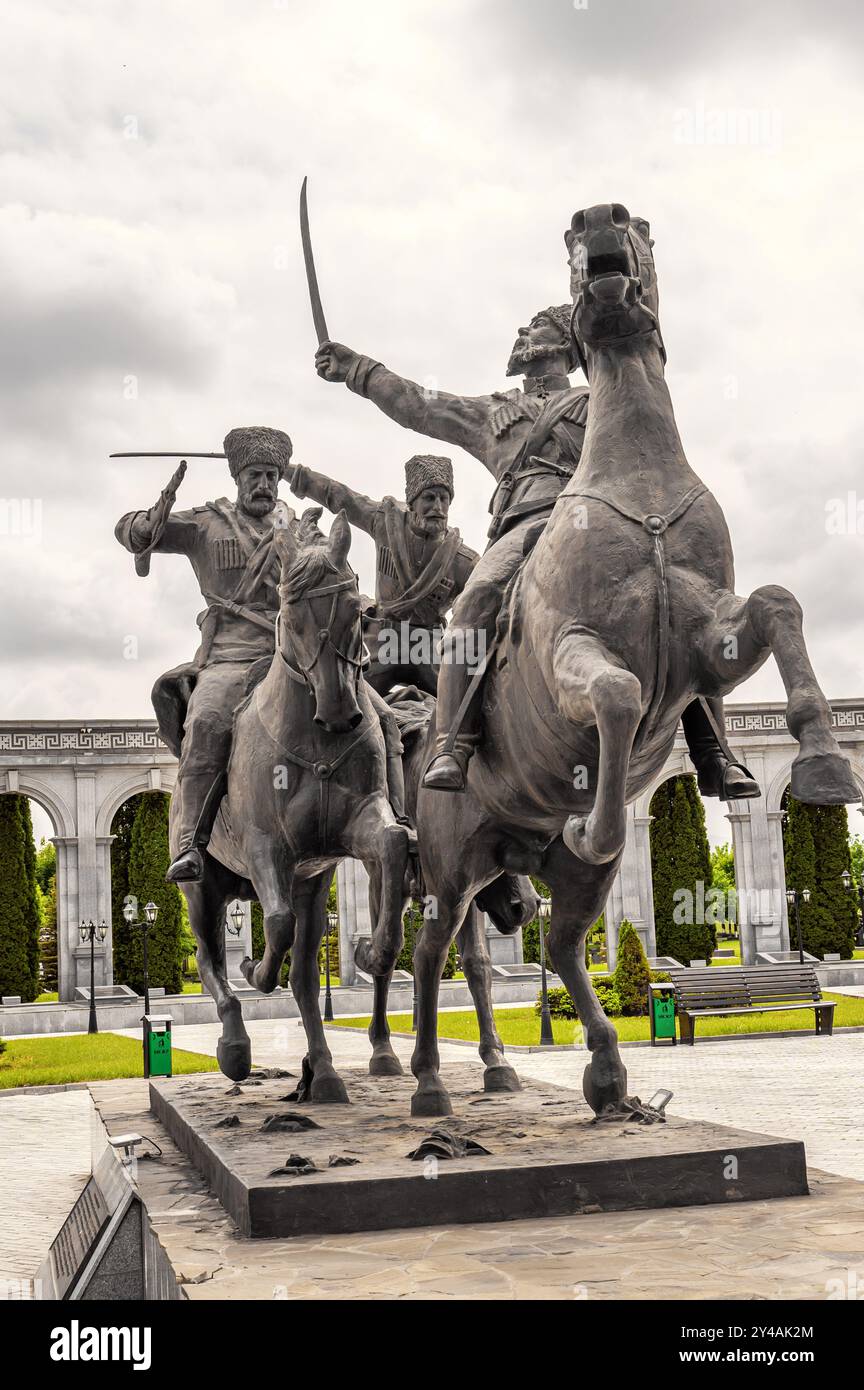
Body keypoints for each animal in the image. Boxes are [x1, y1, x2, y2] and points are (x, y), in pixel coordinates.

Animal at [411, 202, 861, 1117]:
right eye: (567, 239)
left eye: (642, 228)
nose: (598, 219)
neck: (640, 486)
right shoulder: (571, 651)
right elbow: (618, 694)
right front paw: (594, 814)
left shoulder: (708, 649)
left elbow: (779, 603)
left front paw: (824, 761)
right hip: (449, 869)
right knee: (436, 952)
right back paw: (436, 1082)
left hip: (548, 878)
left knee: (563, 947)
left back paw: (608, 1073)